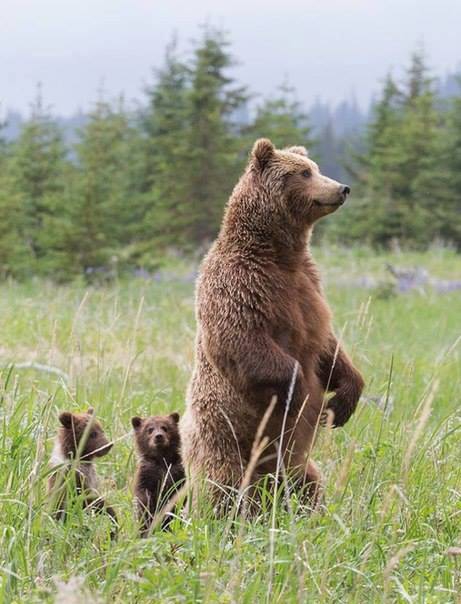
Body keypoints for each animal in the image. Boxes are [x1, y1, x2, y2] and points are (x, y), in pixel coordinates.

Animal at [47, 408, 117, 536]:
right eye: (92, 434)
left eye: (102, 429)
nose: (109, 445)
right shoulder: (72, 478)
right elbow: (87, 499)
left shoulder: (91, 476)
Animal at [180, 137, 362, 510]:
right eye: (304, 173)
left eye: (315, 168)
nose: (342, 188)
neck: (278, 254)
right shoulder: (239, 285)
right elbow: (242, 340)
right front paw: (300, 395)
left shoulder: (308, 289)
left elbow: (326, 346)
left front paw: (342, 401)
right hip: (225, 445)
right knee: (224, 488)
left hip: (294, 467)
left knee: (309, 482)